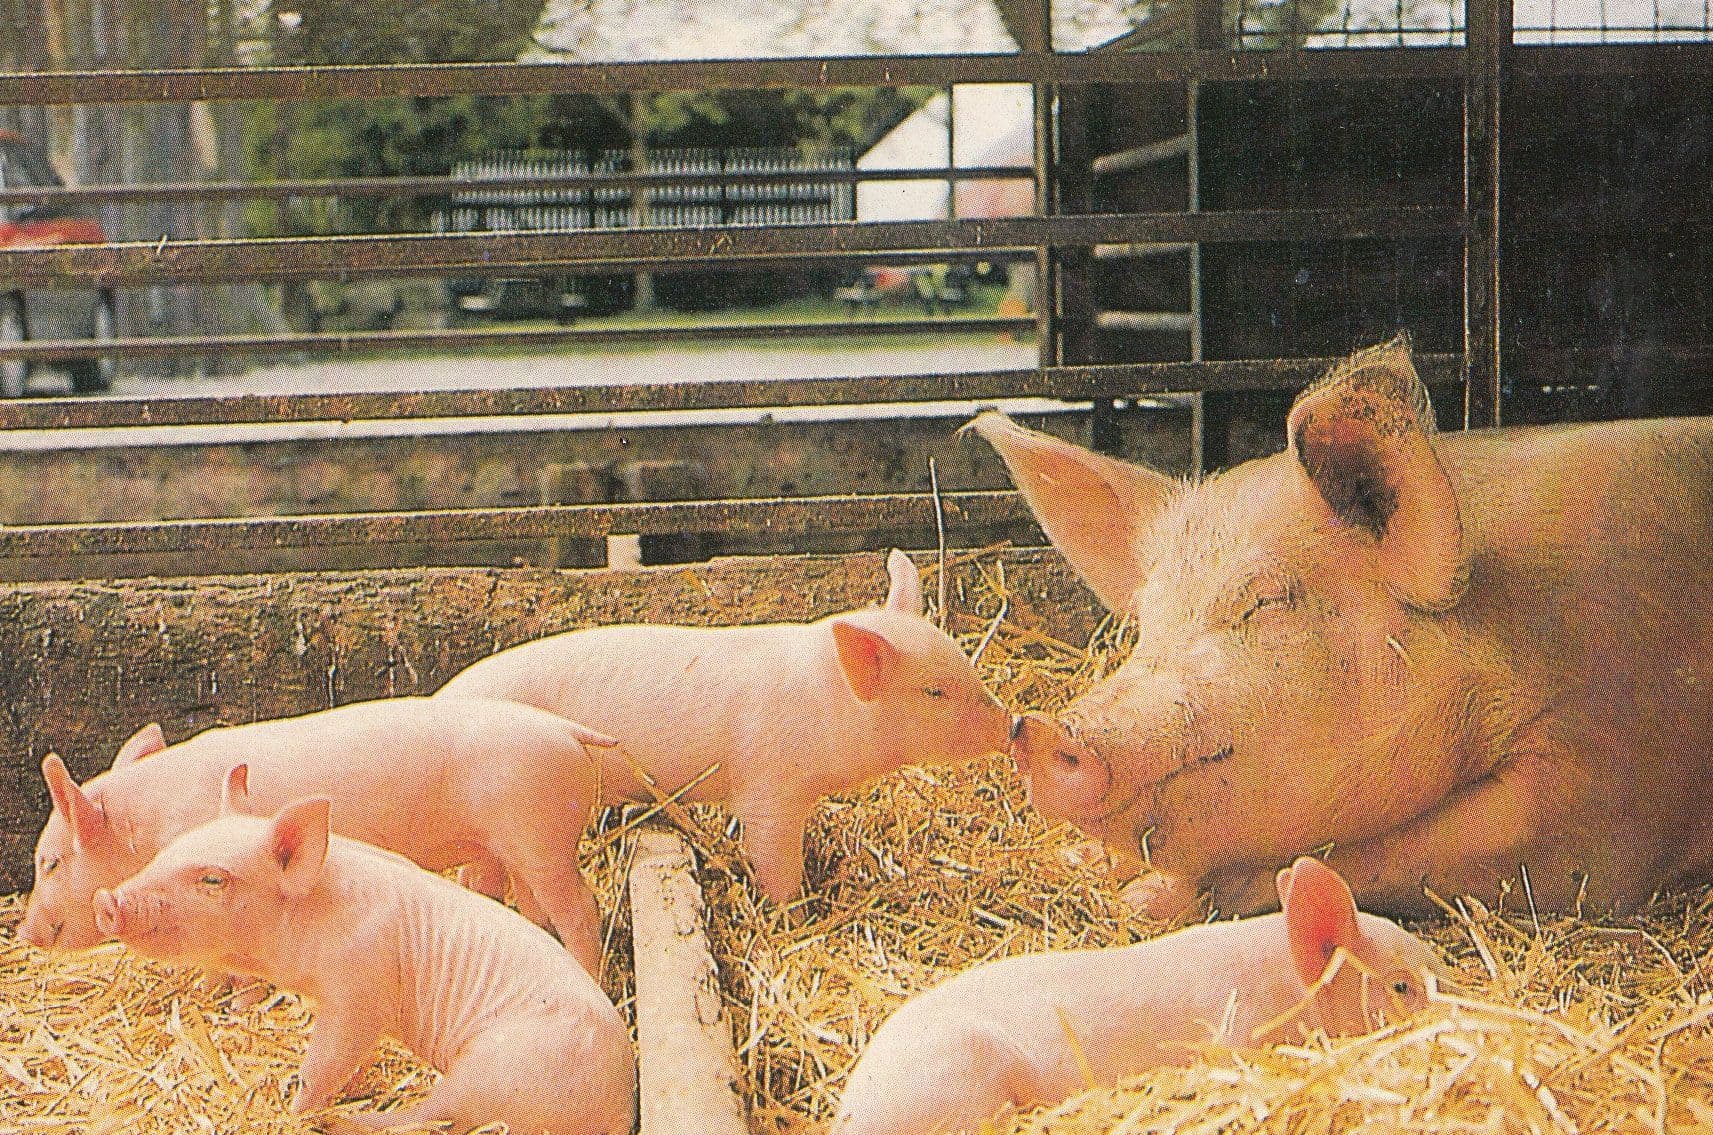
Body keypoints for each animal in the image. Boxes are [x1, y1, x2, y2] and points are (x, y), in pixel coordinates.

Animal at [19, 696, 616, 973]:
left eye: (50, 862)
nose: (24, 932)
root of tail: (567, 730)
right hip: (511, 841)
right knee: (530, 906)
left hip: (539, 835)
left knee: (579, 908)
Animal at [94, 774, 637, 1135]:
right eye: (166, 852)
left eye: (213, 879)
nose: (107, 900)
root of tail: (621, 1100)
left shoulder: (358, 990)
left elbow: (326, 1061)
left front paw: (294, 1111)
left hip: (496, 1071)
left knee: (430, 1117)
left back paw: (350, 1122)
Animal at [434, 549, 1010, 904]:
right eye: (934, 692)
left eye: (964, 661)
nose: (1010, 724)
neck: (828, 705)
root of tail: (441, 701)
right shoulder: (770, 790)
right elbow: (773, 862)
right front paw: (793, 913)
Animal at [978, 337, 1713, 918]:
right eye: (1148, 621)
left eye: (1266, 602)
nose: (1041, 731)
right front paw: (1090, 864)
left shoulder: (1608, 784)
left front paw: (1146, 896)